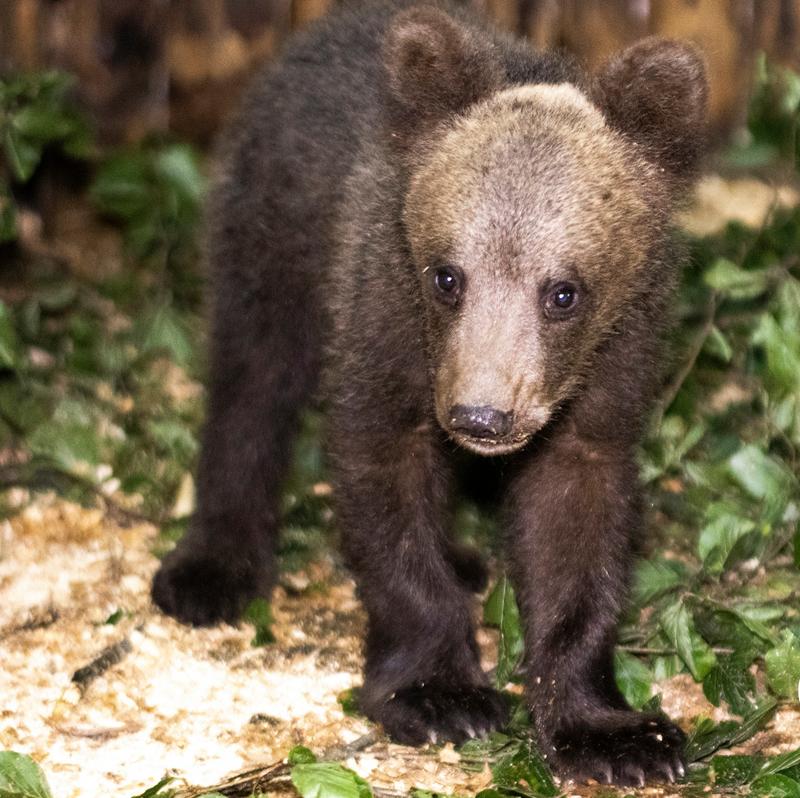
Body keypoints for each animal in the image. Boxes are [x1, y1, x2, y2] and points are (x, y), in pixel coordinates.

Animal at [152, 0, 708, 788]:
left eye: (563, 292)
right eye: (448, 276)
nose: (482, 416)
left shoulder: (608, 371)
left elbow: (579, 525)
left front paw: (614, 735)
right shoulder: (383, 321)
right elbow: (383, 481)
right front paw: (440, 693)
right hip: (274, 228)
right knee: (253, 377)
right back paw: (212, 569)